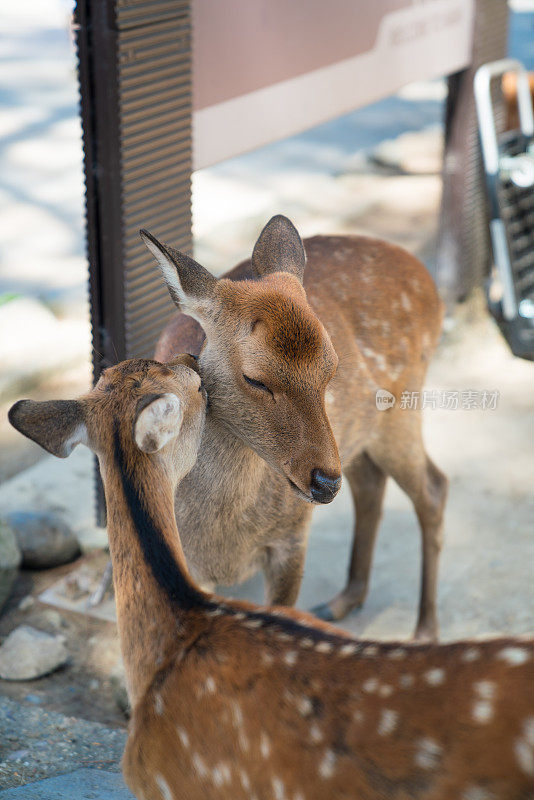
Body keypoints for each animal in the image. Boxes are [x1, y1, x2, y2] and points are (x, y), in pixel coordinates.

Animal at [141, 214, 448, 636]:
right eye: (255, 379)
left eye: (331, 368)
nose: (325, 482)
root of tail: (429, 280)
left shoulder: (292, 537)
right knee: (373, 482)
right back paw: (340, 602)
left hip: (401, 409)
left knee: (433, 487)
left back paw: (424, 630)